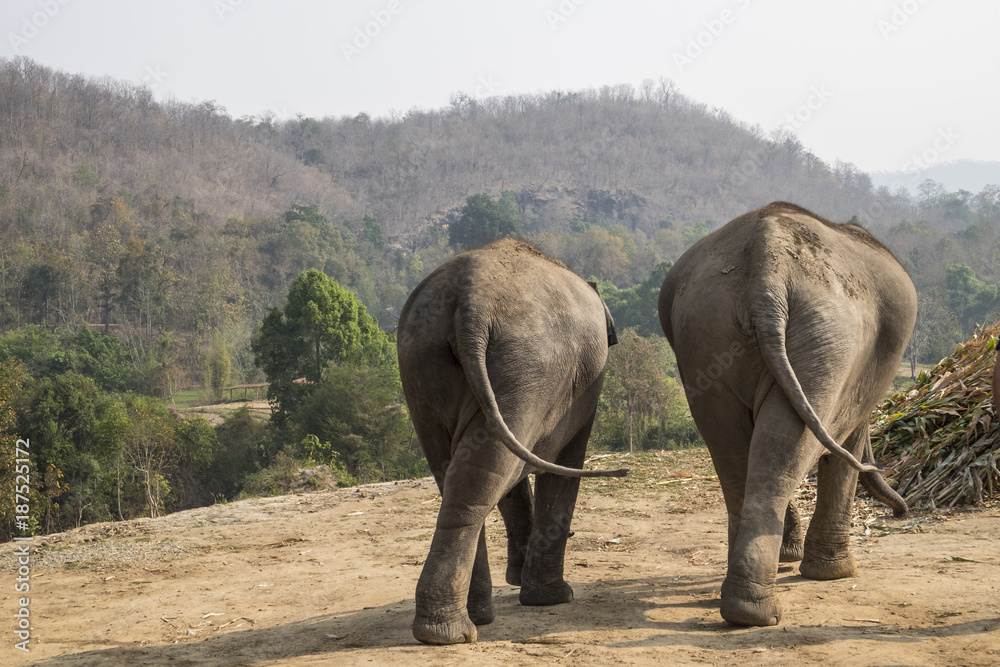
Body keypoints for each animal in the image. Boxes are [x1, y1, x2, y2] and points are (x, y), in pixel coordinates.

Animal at [397, 238, 627, 645]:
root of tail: (471, 303)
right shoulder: (582, 395)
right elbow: (565, 464)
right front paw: (553, 598)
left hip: (425, 361)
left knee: (465, 473)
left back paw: (454, 626)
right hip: (527, 364)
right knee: (487, 469)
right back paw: (458, 628)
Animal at [658, 202, 917, 627]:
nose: (902, 511)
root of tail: (767, 277)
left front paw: (791, 558)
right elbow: (845, 445)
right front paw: (833, 573)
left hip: (704, 335)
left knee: (741, 456)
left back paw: (743, 606)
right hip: (827, 341)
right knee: (790, 450)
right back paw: (762, 608)